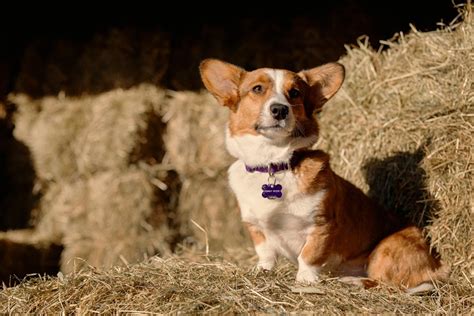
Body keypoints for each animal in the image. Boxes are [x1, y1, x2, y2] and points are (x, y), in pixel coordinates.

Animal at [198, 58, 450, 292]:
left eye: (295, 93)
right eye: (257, 89)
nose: (280, 109)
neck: (273, 163)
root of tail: (438, 265)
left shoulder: (321, 225)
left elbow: (308, 256)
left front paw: (305, 281)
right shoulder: (256, 227)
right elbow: (266, 253)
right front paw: (262, 271)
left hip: (385, 250)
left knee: (386, 284)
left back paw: (352, 281)